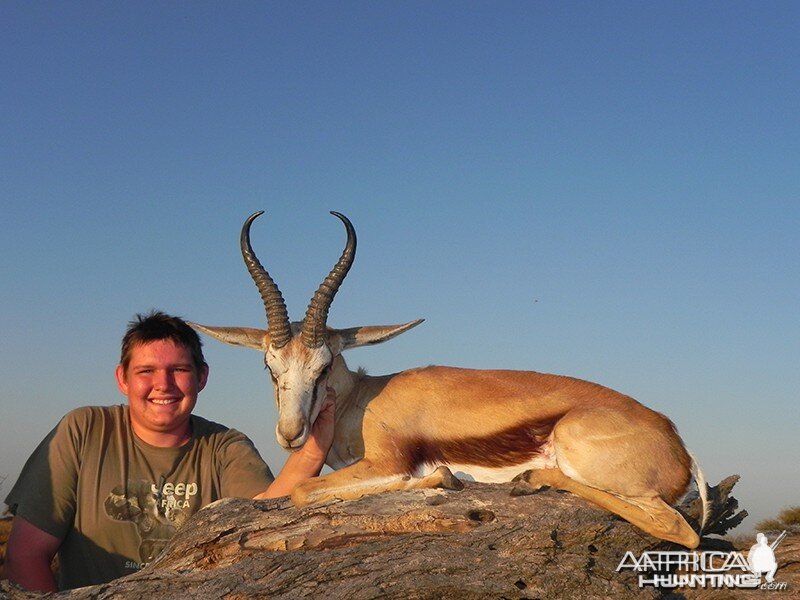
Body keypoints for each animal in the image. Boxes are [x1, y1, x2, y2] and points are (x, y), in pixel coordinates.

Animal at [191, 211, 708, 548]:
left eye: (324, 366)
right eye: (270, 367)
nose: (290, 434)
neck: (364, 401)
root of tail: (679, 447)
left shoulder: (387, 461)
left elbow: (302, 490)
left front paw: (443, 477)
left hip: (579, 446)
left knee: (679, 530)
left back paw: (527, 479)